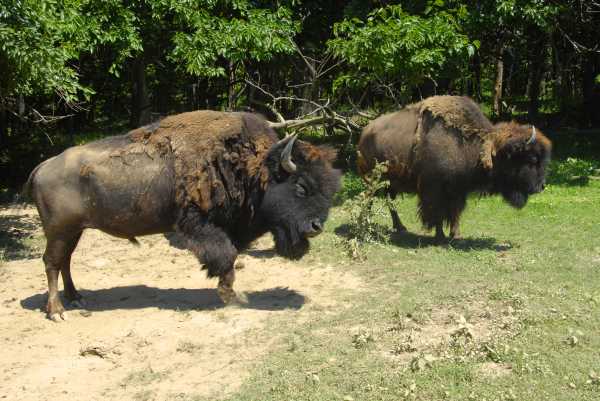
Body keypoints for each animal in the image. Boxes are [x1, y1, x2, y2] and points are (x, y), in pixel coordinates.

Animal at [25, 111, 340, 320]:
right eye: (301, 186)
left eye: (330, 189)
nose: (316, 226)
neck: (251, 169)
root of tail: (42, 167)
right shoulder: (198, 225)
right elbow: (226, 256)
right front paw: (231, 297)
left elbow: (230, 256)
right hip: (59, 231)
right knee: (51, 262)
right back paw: (57, 311)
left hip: (73, 231)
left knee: (64, 261)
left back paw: (76, 298)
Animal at [358, 95, 552, 242]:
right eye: (532, 159)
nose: (542, 186)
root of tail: (365, 132)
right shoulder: (435, 190)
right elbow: (437, 213)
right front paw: (441, 236)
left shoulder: (458, 190)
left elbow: (455, 212)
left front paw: (456, 235)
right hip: (373, 180)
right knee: (369, 199)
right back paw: (366, 223)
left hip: (391, 182)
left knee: (389, 201)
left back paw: (400, 227)